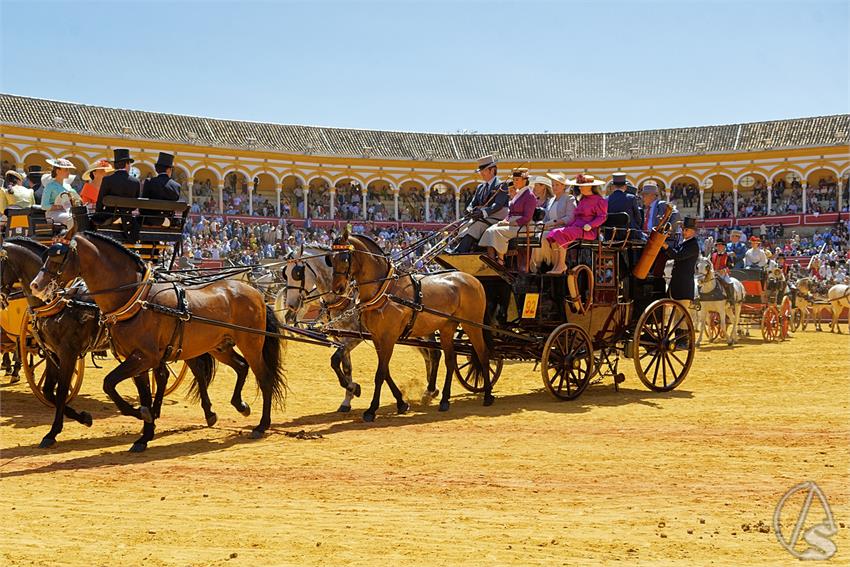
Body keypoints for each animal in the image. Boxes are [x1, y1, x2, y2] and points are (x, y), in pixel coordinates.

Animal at [1, 239, 219, 448]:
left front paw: (54, 431)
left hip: (177, 344)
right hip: (164, 348)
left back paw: (208, 413)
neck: (58, 302)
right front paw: (83, 417)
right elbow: (49, 391)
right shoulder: (52, 352)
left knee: (197, 369)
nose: (36, 286)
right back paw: (157, 412)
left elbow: (61, 391)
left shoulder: (68, 352)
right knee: (164, 375)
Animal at [31, 231, 286, 452]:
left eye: (58, 257)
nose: (36, 285)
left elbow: (108, 383)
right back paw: (239, 405)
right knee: (240, 367)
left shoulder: (144, 357)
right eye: (44, 255)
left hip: (251, 343)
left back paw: (262, 425)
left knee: (264, 378)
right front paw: (145, 432)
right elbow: (138, 392)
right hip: (218, 346)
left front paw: (142, 414)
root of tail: (255, 292)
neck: (134, 300)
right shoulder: (135, 359)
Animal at [274, 245, 444, 412]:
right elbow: (347, 367)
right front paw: (348, 398)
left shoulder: (356, 337)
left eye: (297, 273)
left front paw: (354, 389)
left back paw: (431, 390)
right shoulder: (341, 338)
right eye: (285, 273)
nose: (291, 304)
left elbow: (335, 361)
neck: (345, 299)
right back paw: (431, 389)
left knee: (434, 354)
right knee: (428, 355)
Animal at [328, 230, 494, 422]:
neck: (385, 291)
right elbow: (385, 371)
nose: (338, 289)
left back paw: (488, 395)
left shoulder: (388, 337)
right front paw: (401, 403)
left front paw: (371, 410)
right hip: (447, 327)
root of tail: (473, 279)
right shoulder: (377, 337)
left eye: (345, 258)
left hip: (473, 326)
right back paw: (445, 400)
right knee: (450, 360)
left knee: (482, 355)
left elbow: (380, 374)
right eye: (330, 259)